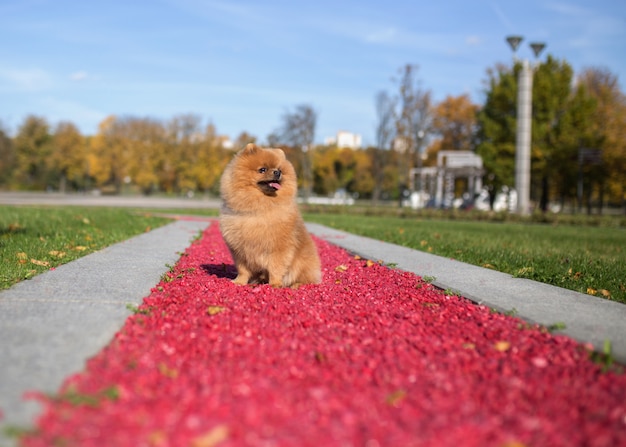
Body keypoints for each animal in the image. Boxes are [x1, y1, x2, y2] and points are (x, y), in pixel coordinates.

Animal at [218, 145, 320, 288]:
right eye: (262, 169)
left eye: (280, 170)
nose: (277, 172)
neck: (260, 209)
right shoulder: (240, 251)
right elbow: (243, 270)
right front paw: (239, 282)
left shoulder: (278, 249)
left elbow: (276, 268)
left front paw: (275, 284)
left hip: (303, 263)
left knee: (307, 279)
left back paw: (296, 285)